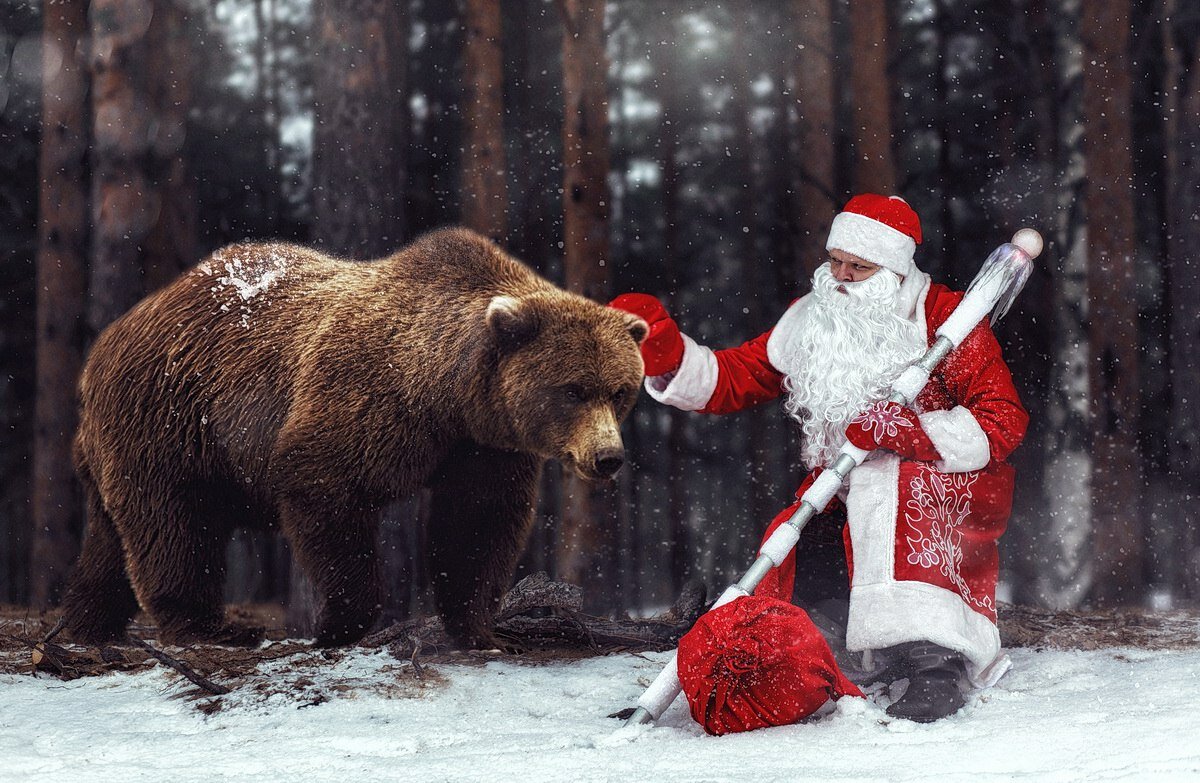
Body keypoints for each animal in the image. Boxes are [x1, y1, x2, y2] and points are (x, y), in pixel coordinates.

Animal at [59, 227, 648, 648]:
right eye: (573, 390)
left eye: (620, 390)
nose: (608, 457)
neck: (445, 394)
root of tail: (105, 343)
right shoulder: (365, 401)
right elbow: (325, 490)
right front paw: (341, 623)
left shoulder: (484, 446)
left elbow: (477, 523)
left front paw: (480, 628)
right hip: (171, 419)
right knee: (174, 525)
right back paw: (213, 626)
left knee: (112, 540)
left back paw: (88, 625)